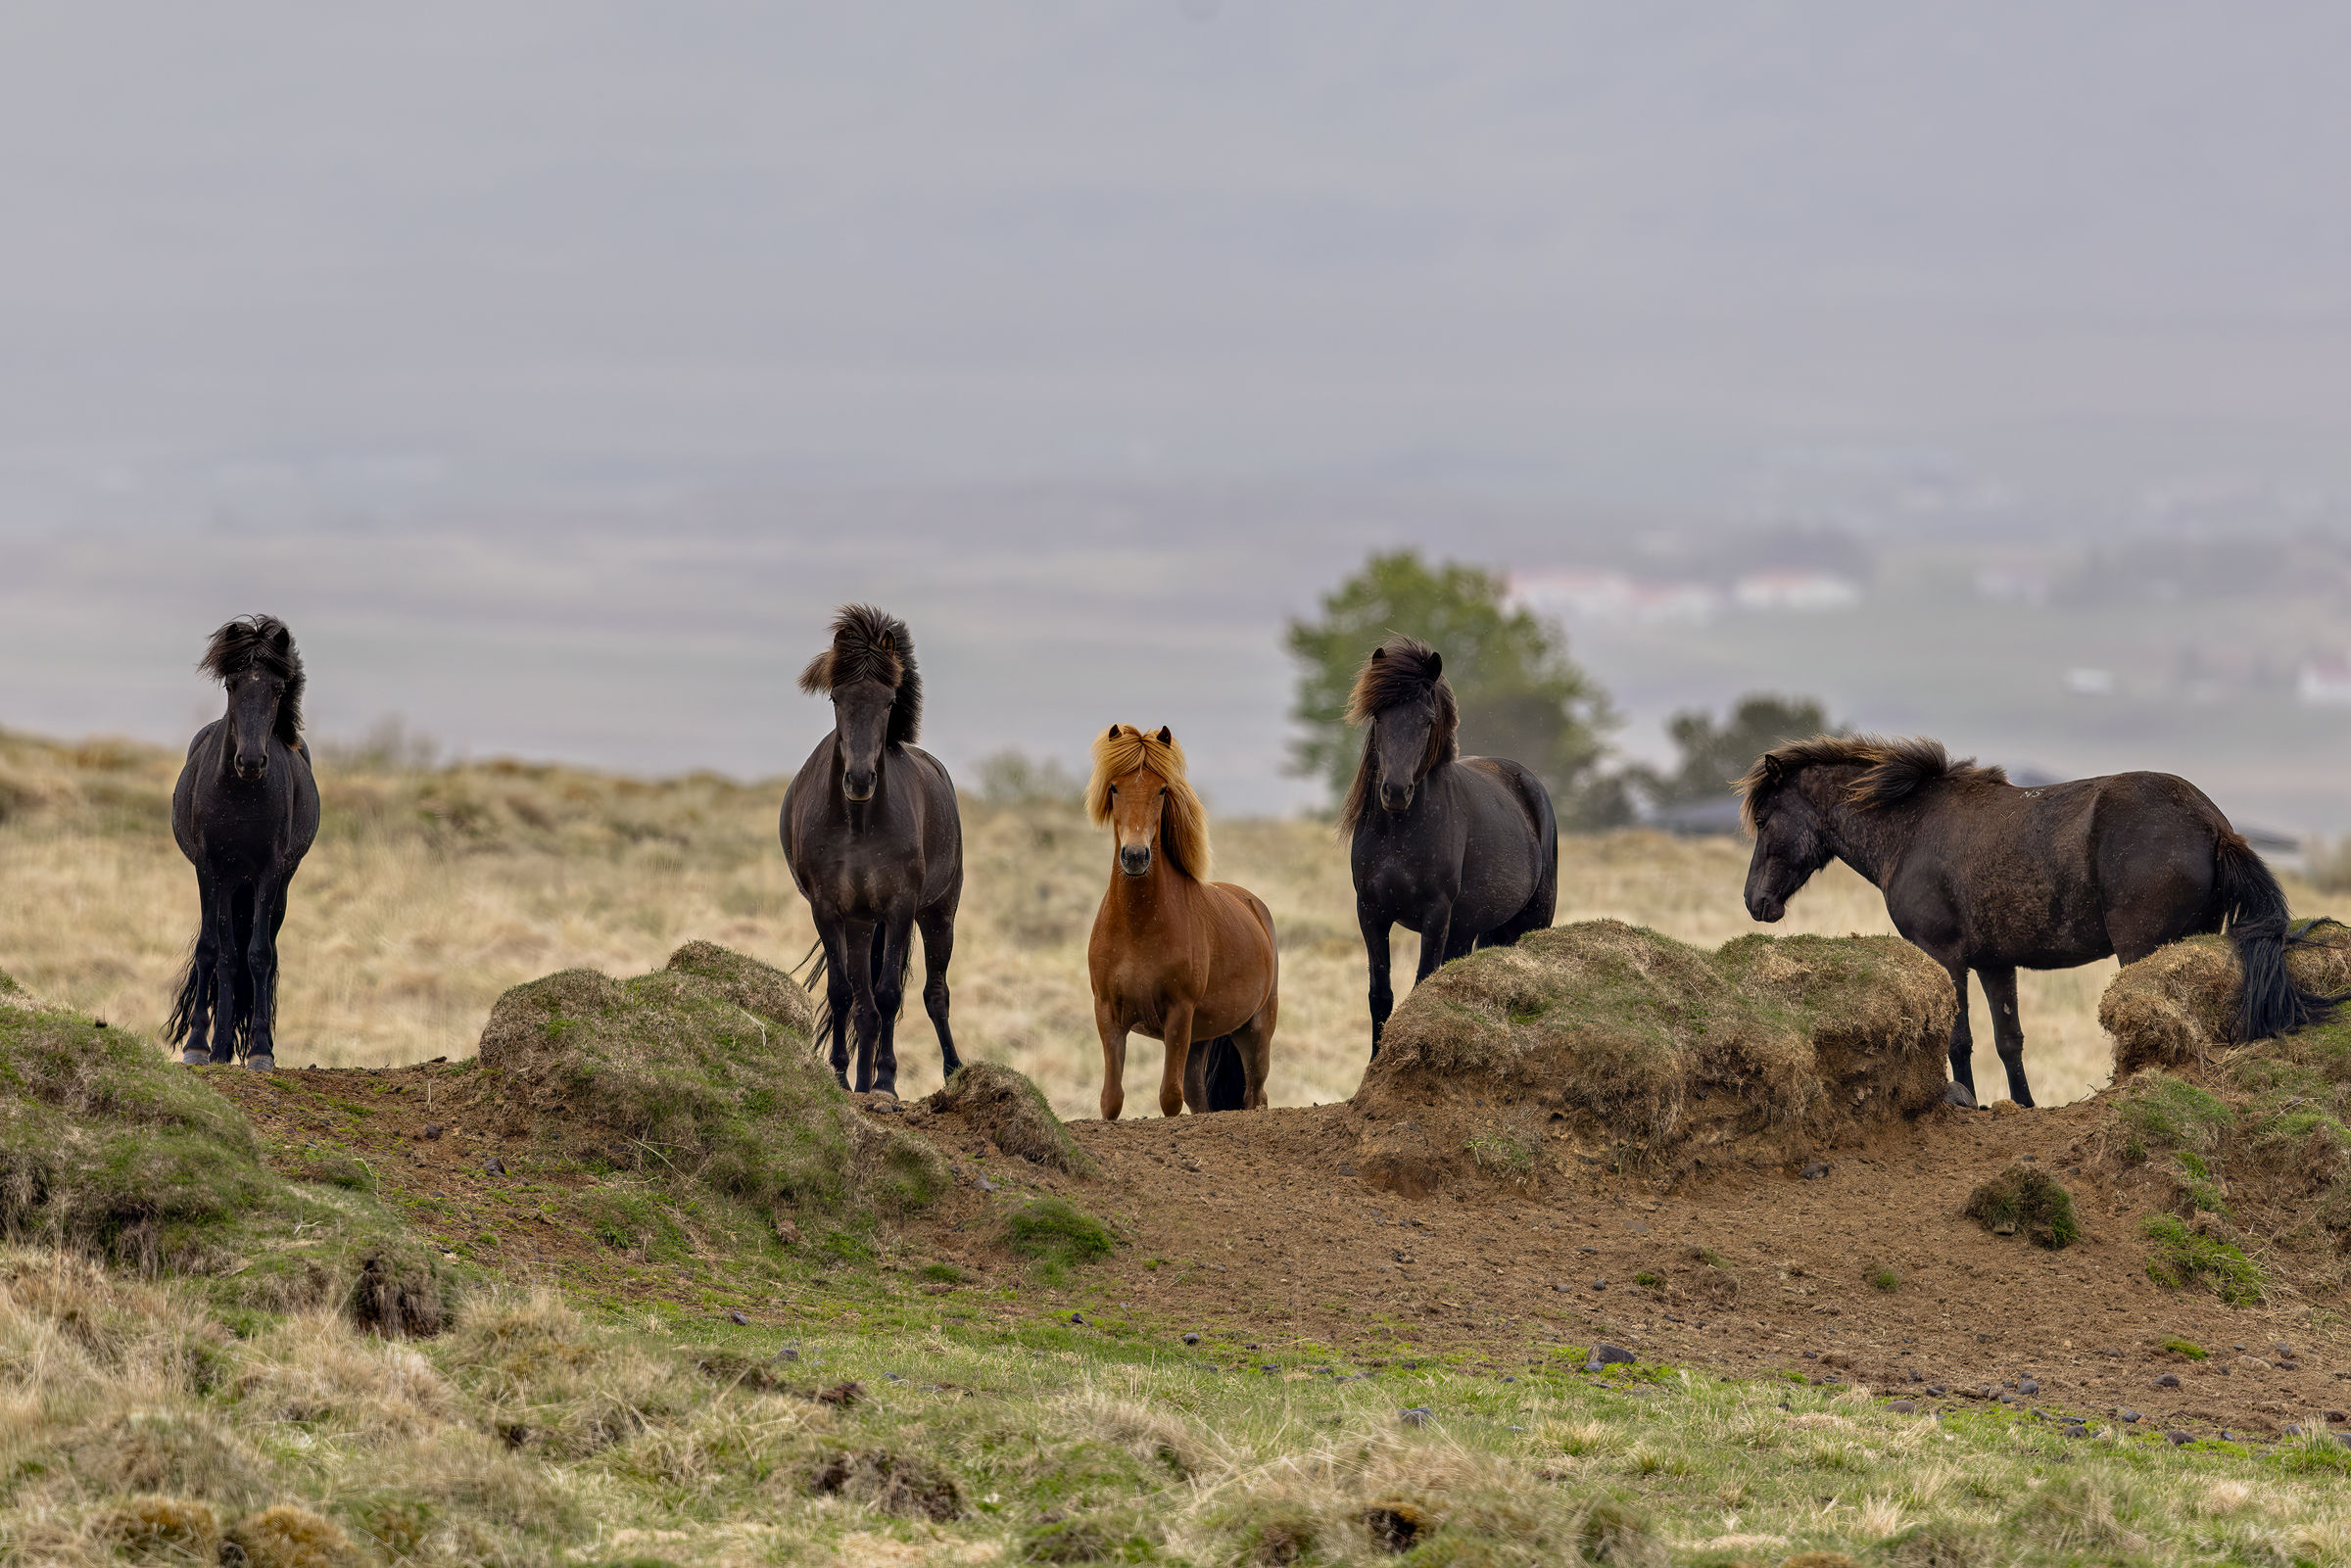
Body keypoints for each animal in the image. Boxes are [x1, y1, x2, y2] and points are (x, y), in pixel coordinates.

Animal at [166, 615, 320, 1070]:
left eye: (277, 689)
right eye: (232, 685)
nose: (250, 762)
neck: (241, 796)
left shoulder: (269, 872)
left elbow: (259, 955)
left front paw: (261, 1052)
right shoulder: (211, 869)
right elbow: (215, 952)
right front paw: (202, 1047)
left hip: (274, 884)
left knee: (262, 951)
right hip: (231, 882)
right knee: (223, 953)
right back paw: (214, 1048)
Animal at [780, 605, 963, 1096]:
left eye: (887, 702)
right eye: (836, 699)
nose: (860, 780)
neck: (858, 824)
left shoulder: (900, 907)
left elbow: (889, 995)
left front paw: (885, 1082)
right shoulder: (827, 909)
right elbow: (845, 995)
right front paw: (843, 1078)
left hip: (938, 914)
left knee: (935, 994)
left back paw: (953, 1070)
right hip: (861, 924)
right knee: (863, 1007)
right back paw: (859, 1081)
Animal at [1085, 724, 1278, 1119]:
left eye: (1161, 789)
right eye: (1114, 787)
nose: (1135, 856)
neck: (1138, 926)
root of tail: (1254, 905)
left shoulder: (1178, 1015)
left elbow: (1169, 1099)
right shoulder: (1108, 1014)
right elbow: (1111, 1100)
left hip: (1254, 1032)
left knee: (1255, 1096)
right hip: (1202, 1038)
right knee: (1199, 1096)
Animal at [1341, 636, 1558, 1057]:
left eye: (1427, 721)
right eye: (1379, 717)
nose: (1395, 791)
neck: (1399, 833)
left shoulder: (1436, 913)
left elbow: (1421, 984)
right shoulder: (1371, 912)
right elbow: (1381, 994)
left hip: (1530, 918)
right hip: (1470, 928)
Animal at [1737, 733, 2338, 1109]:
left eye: (1764, 818)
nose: (1755, 901)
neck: (1910, 825)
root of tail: (2213, 823)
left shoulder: (1946, 957)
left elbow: (1958, 1040)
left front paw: (1969, 1102)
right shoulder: (1994, 964)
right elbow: (2009, 1041)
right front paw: (2022, 1105)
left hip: (2143, 947)